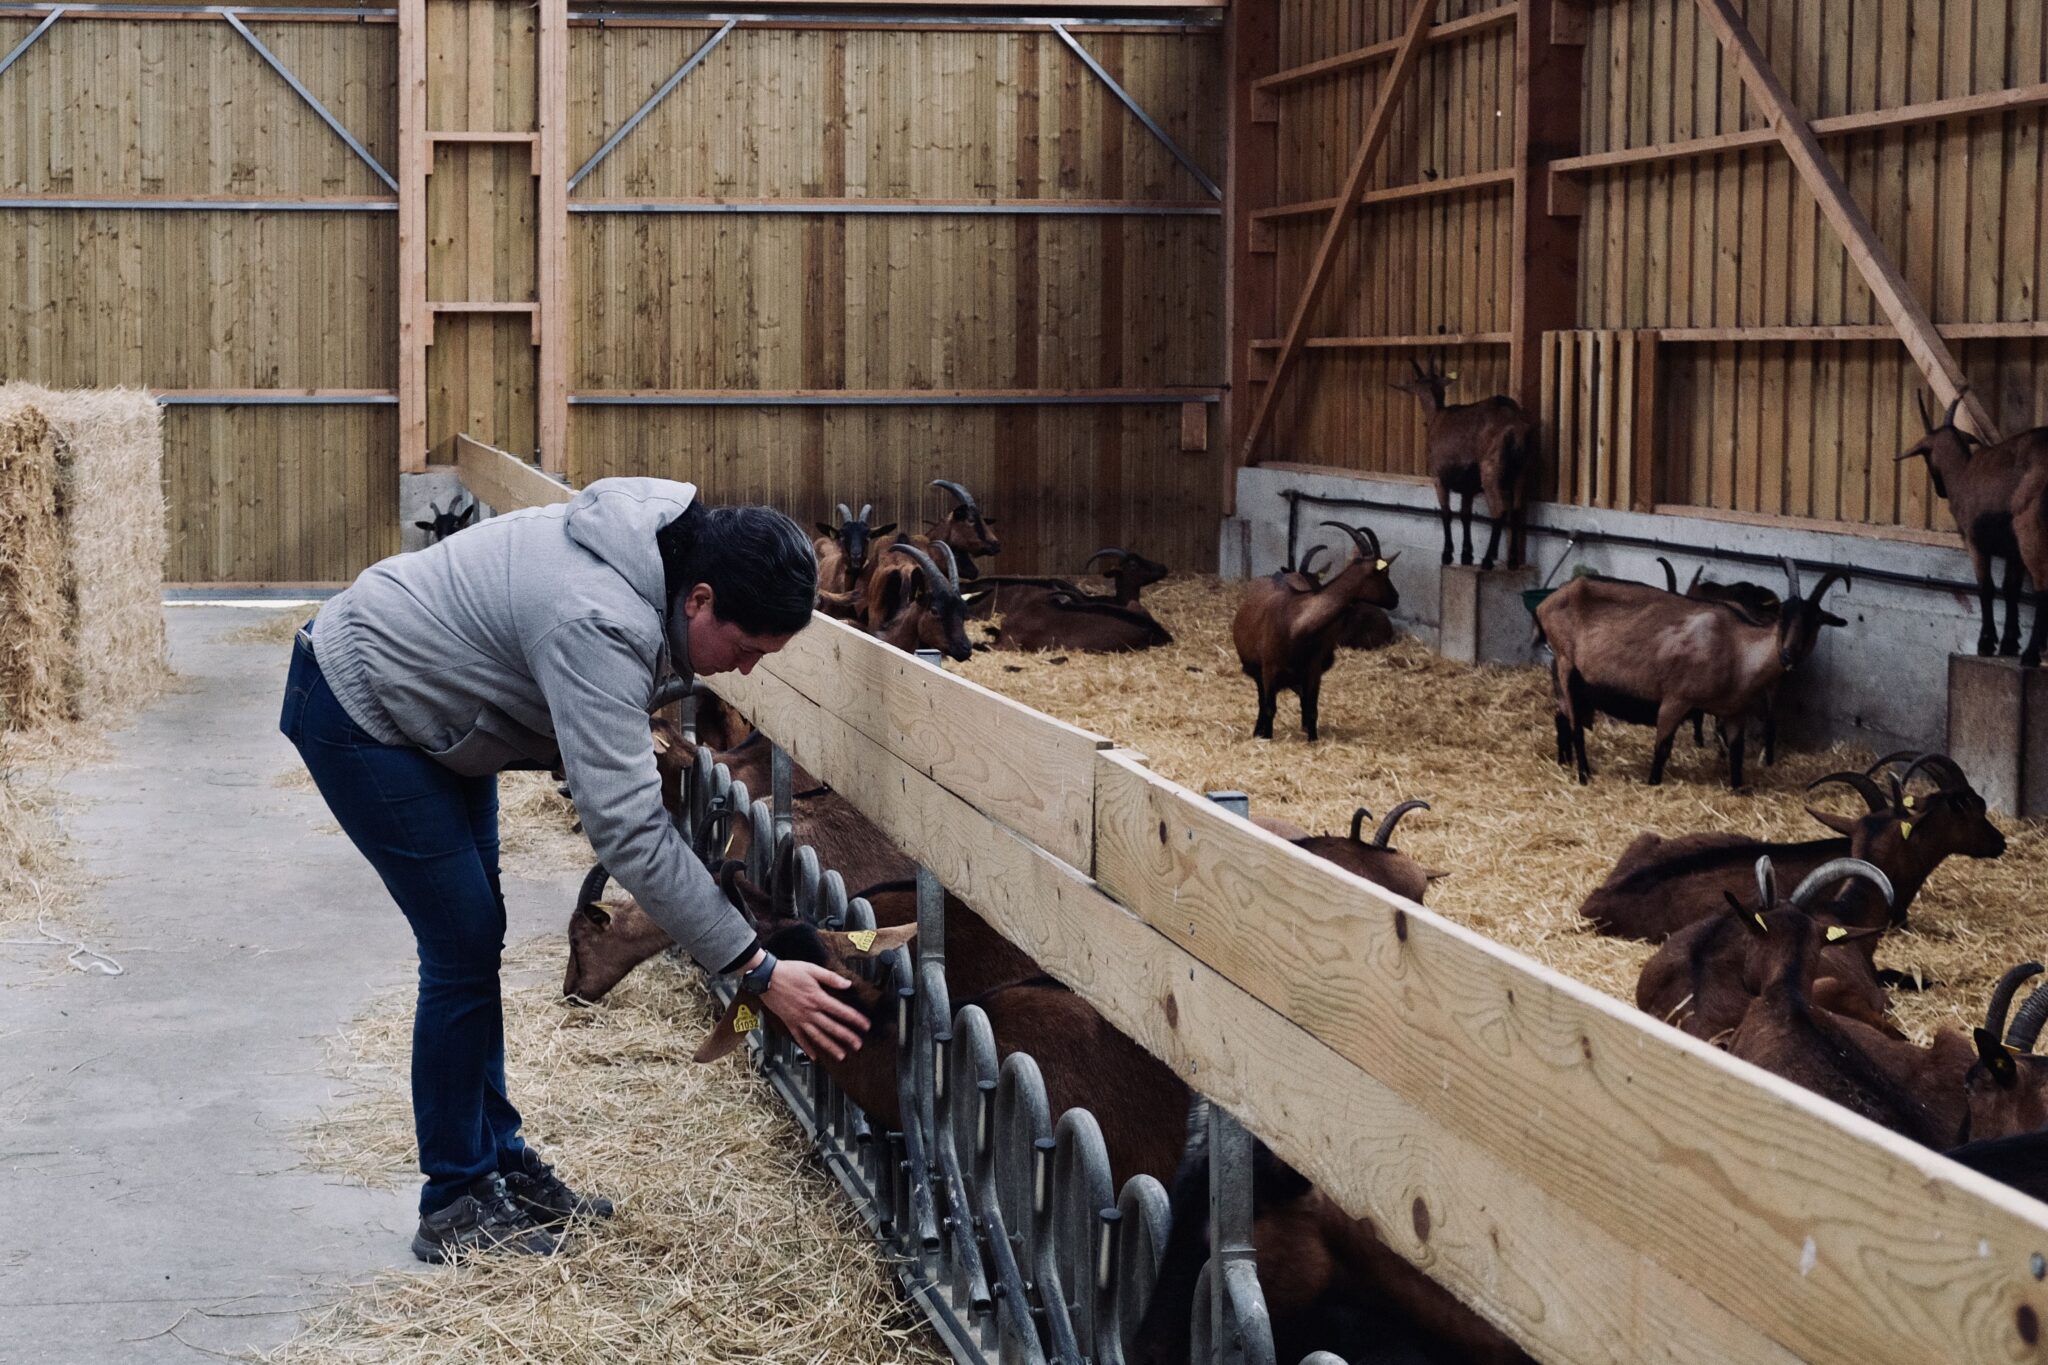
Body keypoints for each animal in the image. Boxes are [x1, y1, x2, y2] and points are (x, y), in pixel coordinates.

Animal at [1231, 522, 1400, 741]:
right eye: (1383, 572)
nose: (1395, 598)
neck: (1295, 624)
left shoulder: (1314, 669)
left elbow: (1311, 709)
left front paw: (1312, 739)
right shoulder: (1269, 668)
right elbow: (1269, 707)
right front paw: (1266, 736)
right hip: (1257, 669)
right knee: (1263, 701)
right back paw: (1258, 731)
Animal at [1392, 355, 1537, 571]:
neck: (1436, 416)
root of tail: (1515, 426)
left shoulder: (1438, 478)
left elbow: (1446, 512)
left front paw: (1447, 554)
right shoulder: (1467, 486)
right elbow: (1465, 515)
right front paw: (1466, 555)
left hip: (1490, 470)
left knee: (1499, 509)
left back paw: (1487, 560)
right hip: (1522, 471)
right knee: (1517, 510)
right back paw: (1511, 561)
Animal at [1535, 557, 1848, 786]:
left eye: (1817, 621)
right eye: (1783, 615)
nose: (1788, 655)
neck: (1737, 649)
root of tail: (1547, 603)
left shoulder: (1734, 714)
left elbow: (1736, 758)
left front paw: (1738, 787)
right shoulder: (1675, 699)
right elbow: (1662, 750)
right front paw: (1653, 783)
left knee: (1564, 717)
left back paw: (1568, 763)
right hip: (1566, 665)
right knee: (1575, 727)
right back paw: (1584, 775)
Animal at [1896, 391, 2048, 661]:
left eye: (1925, 454)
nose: (1940, 490)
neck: (1963, 472)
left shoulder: (1974, 542)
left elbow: (1985, 587)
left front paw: (1986, 643)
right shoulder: (2013, 552)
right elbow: (2010, 589)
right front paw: (2009, 644)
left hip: (2031, 529)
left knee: (2043, 586)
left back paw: (2031, 655)